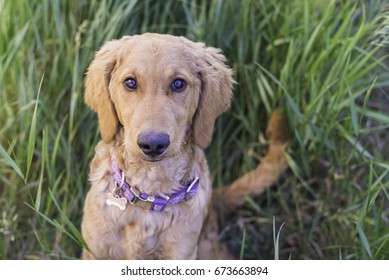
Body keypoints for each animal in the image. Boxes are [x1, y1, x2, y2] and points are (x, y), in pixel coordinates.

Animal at [81, 33, 288, 260]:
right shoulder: (94, 250)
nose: (153, 144)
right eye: (130, 82)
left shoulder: (182, 252)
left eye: (179, 83)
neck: (150, 194)